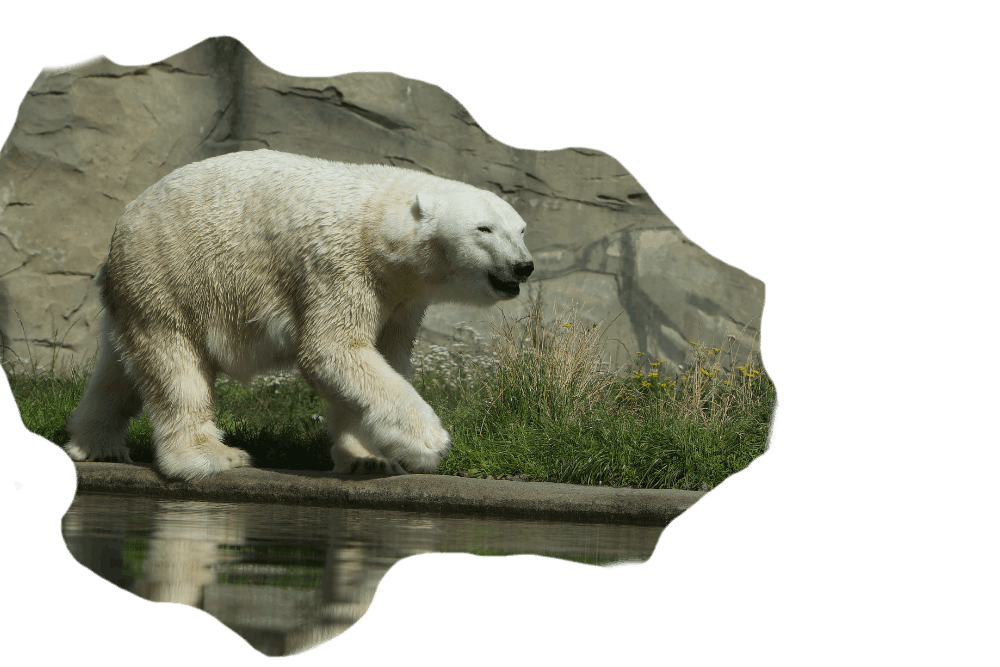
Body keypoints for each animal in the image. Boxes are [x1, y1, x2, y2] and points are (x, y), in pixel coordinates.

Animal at [63, 149, 534, 482]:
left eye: (521, 229)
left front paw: (367, 458)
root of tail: (126, 219)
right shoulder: (339, 268)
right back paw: (210, 456)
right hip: (171, 272)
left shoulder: (402, 300)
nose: (523, 266)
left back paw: (94, 444)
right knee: (175, 365)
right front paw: (428, 443)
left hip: (139, 289)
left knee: (119, 368)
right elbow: (334, 349)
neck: (380, 231)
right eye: (484, 229)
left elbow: (381, 358)